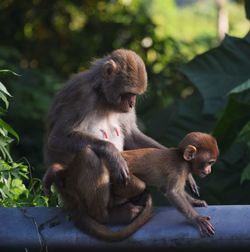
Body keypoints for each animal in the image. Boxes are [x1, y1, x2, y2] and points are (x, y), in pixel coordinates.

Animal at [43, 48, 199, 240]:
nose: (132, 104)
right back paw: (106, 216)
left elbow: (132, 136)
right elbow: (57, 138)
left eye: (135, 96)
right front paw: (112, 153)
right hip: (71, 189)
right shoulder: (80, 94)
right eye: (128, 94)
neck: (102, 95)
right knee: (89, 156)